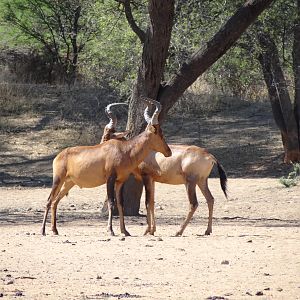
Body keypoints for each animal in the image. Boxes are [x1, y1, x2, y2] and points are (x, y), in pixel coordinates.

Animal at [41, 97, 171, 236]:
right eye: (160, 132)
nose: (169, 152)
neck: (124, 149)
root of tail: (59, 155)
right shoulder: (110, 179)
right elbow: (111, 202)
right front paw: (111, 230)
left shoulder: (120, 181)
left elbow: (120, 204)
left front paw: (125, 231)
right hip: (58, 179)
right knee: (49, 200)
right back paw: (43, 231)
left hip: (69, 183)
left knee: (55, 201)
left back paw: (55, 230)